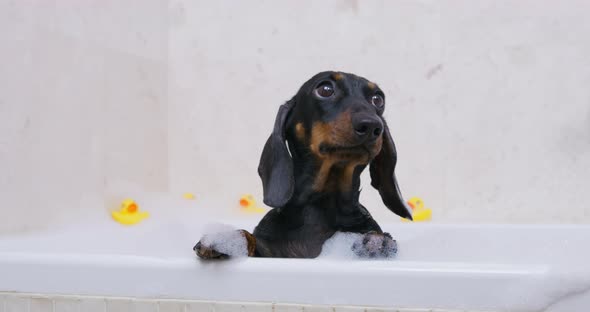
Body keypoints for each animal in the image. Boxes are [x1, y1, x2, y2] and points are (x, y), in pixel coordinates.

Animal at [194, 72, 412, 260]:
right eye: (325, 89)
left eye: (378, 99)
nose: (372, 125)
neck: (322, 205)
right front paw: (225, 238)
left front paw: (378, 240)